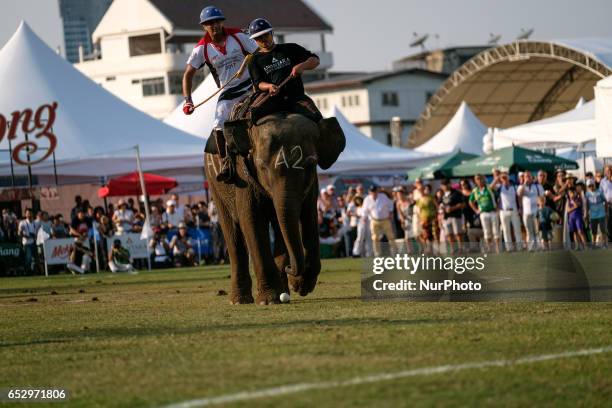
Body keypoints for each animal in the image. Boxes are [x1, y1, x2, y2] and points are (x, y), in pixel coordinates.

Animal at [204, 113, 344, 304]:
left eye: (310, 164)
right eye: (262, 167)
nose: (289, 268)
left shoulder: (312, 183)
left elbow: (308, 216)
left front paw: (300, 285)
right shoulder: (243, 174)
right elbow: (251, 220)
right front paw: (269, 300)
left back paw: (282, 290)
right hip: (215, 183)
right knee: (232, 233)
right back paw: (240, 300)